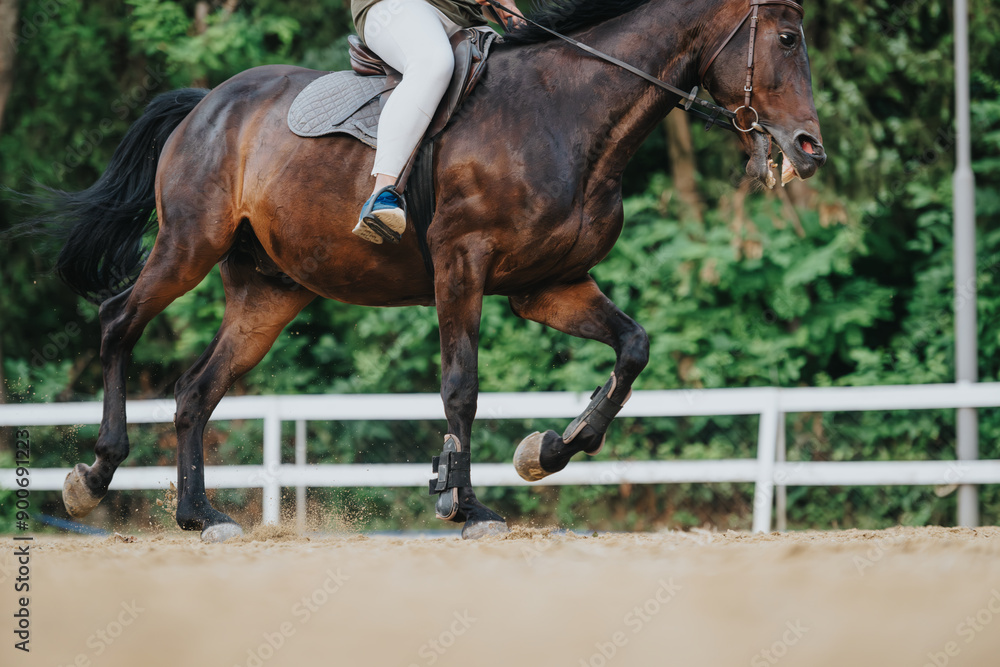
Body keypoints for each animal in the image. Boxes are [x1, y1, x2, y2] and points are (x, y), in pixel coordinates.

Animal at [40, 0, 825, 541]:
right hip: (187, 247)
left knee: (195, 391)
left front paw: (546, 450)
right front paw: (465, 502)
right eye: (787, 38)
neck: (567, 112)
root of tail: (206, 102)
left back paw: (201, 515)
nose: (808, 148)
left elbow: (632, 348)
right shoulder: (462, 267)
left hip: (268, 294)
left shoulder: (548, 286)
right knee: (117, 322)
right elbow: (461, 388)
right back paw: (94, 475)